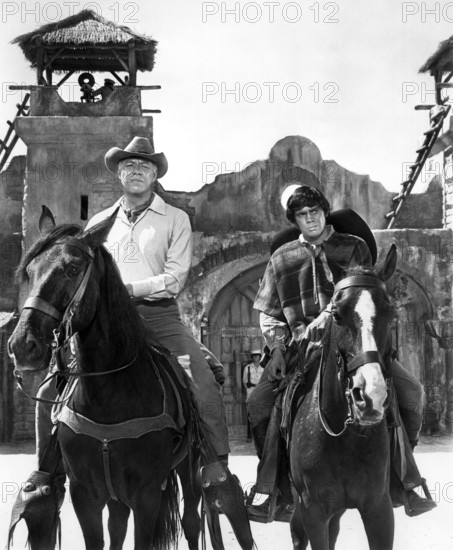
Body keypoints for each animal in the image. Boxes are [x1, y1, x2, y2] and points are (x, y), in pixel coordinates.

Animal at [7, 212, 251, 550]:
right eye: (30, 271)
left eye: (72, 269)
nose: (23, 346)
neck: (109, 395)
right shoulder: (85, 494)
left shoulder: (147, 494)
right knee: (117, 526)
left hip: (189, 469)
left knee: (192, 519)